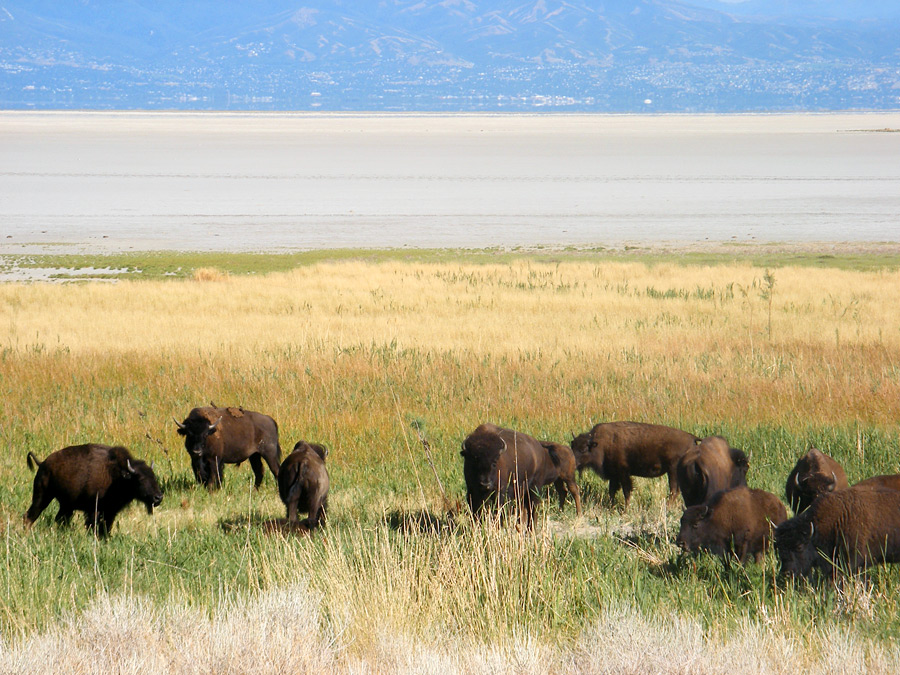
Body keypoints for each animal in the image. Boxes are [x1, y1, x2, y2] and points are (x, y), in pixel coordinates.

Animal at [23, 444, 163, 540]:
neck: (118, 475)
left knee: (59, 519)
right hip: (42, 497)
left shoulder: (111, 512)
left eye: (154, 477)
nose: (158, 497)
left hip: (66, 505)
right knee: (29, 515)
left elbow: (106, 528)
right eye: (140, 479)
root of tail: (42, 463)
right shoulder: (94, 510)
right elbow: (93, 526)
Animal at [568, 420, 696, 510]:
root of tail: (692, 437)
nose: (573, 463)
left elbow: (626, 491)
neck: (601, 443)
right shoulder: (614, 475)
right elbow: (612, 491)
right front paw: (611, 507)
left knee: (673, 490)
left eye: (583, 449)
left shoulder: (623, 473)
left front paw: (626, 509)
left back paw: (667, 507)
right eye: (572, 446)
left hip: (672, 471)